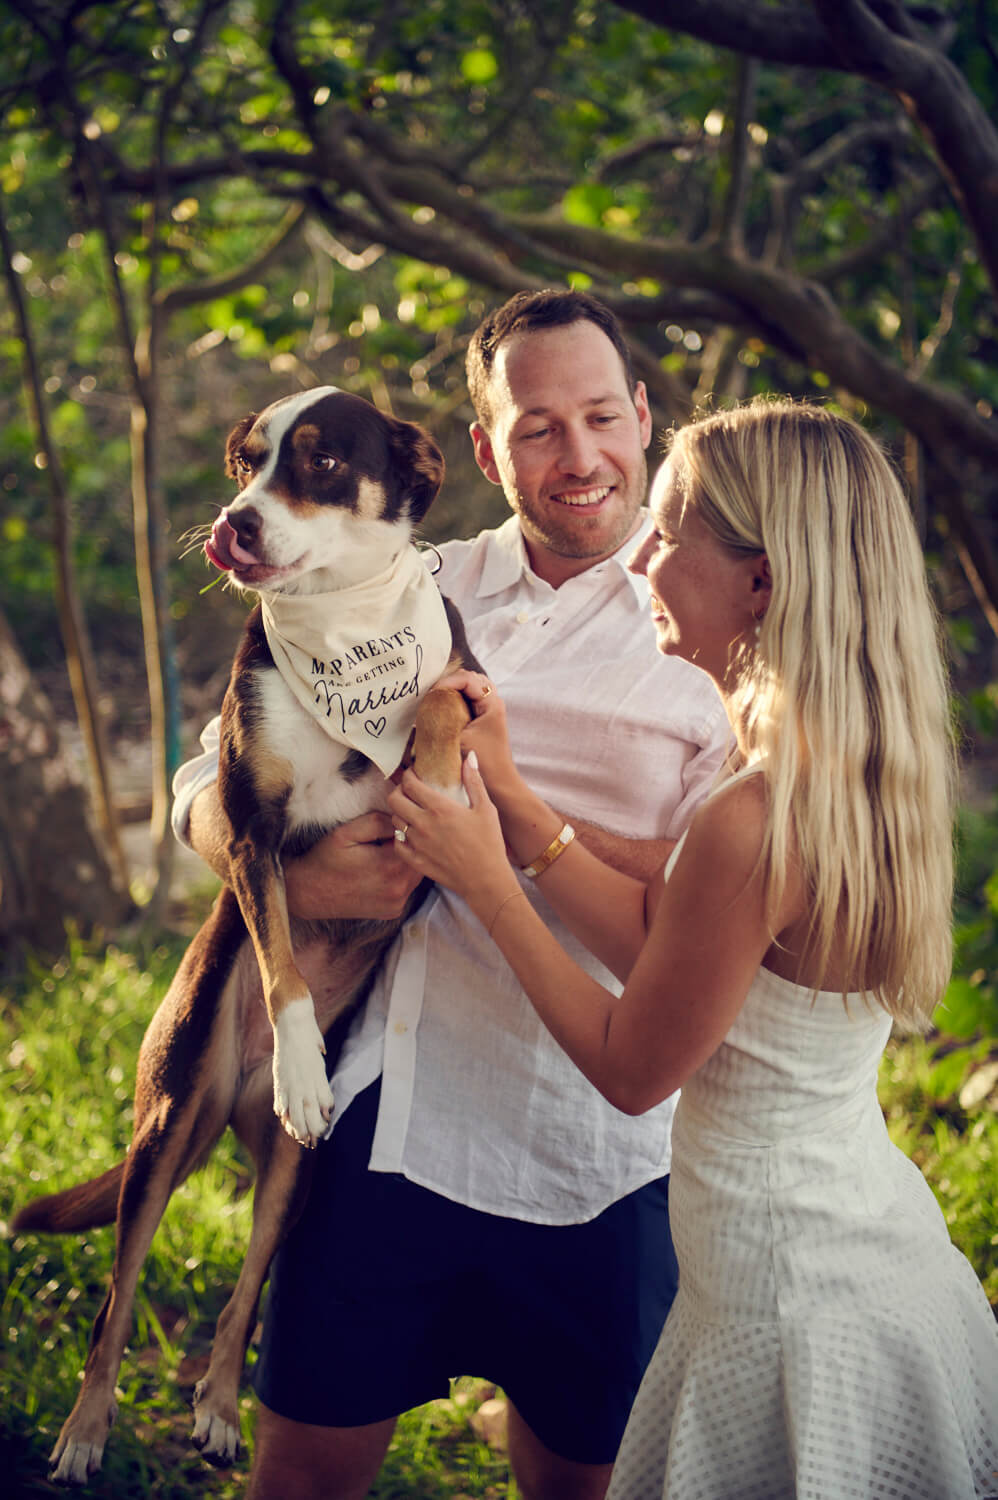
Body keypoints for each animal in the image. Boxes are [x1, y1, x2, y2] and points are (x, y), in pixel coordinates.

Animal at [13, 390, 480, 1488]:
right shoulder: (250, 830)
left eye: (319, 462)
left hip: (288, 1186)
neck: (344, 626)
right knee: (114, 1303)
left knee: (243, 1300)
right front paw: (304, 1067)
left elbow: (441, 696)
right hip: (164, 1126)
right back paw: (84, 1434)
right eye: (244, 463)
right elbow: (279, 965)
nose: (234, 522)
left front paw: (436, 774)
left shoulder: (461, 682)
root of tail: (233, 1100)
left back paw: (221, 1410)